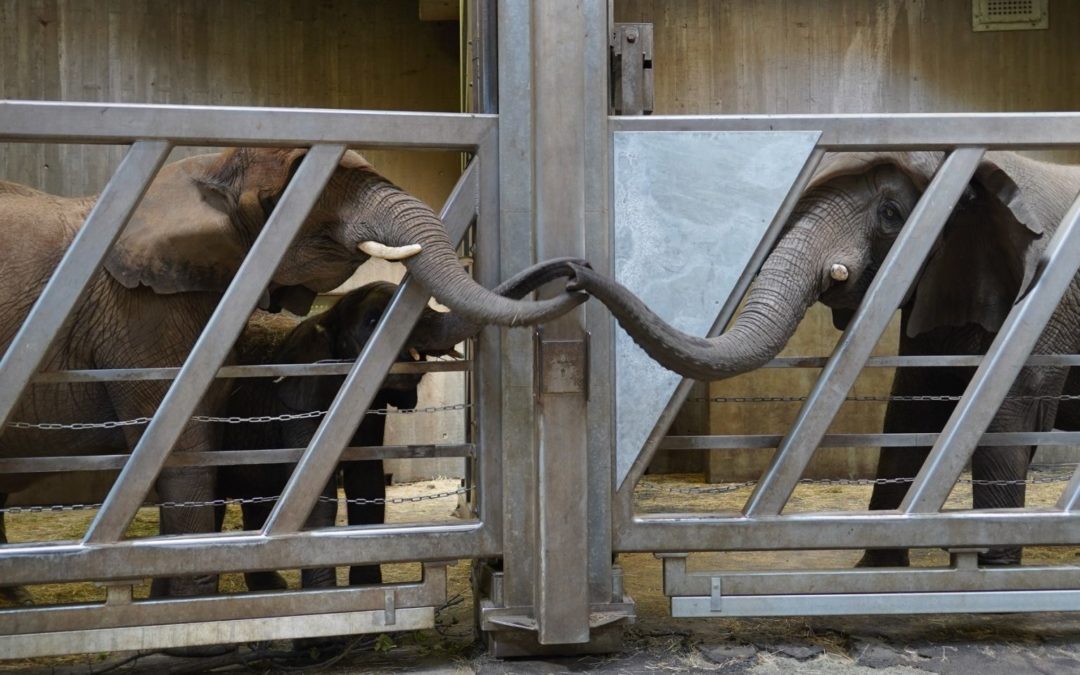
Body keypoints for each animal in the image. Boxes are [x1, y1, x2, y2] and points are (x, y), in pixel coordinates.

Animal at [561, 150, 1080, 565]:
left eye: (891, 213)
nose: (572, 272)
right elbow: (910, 410)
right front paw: (877, 572)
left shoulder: (1040, 307)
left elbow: (1006, 414)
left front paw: (993, 570)